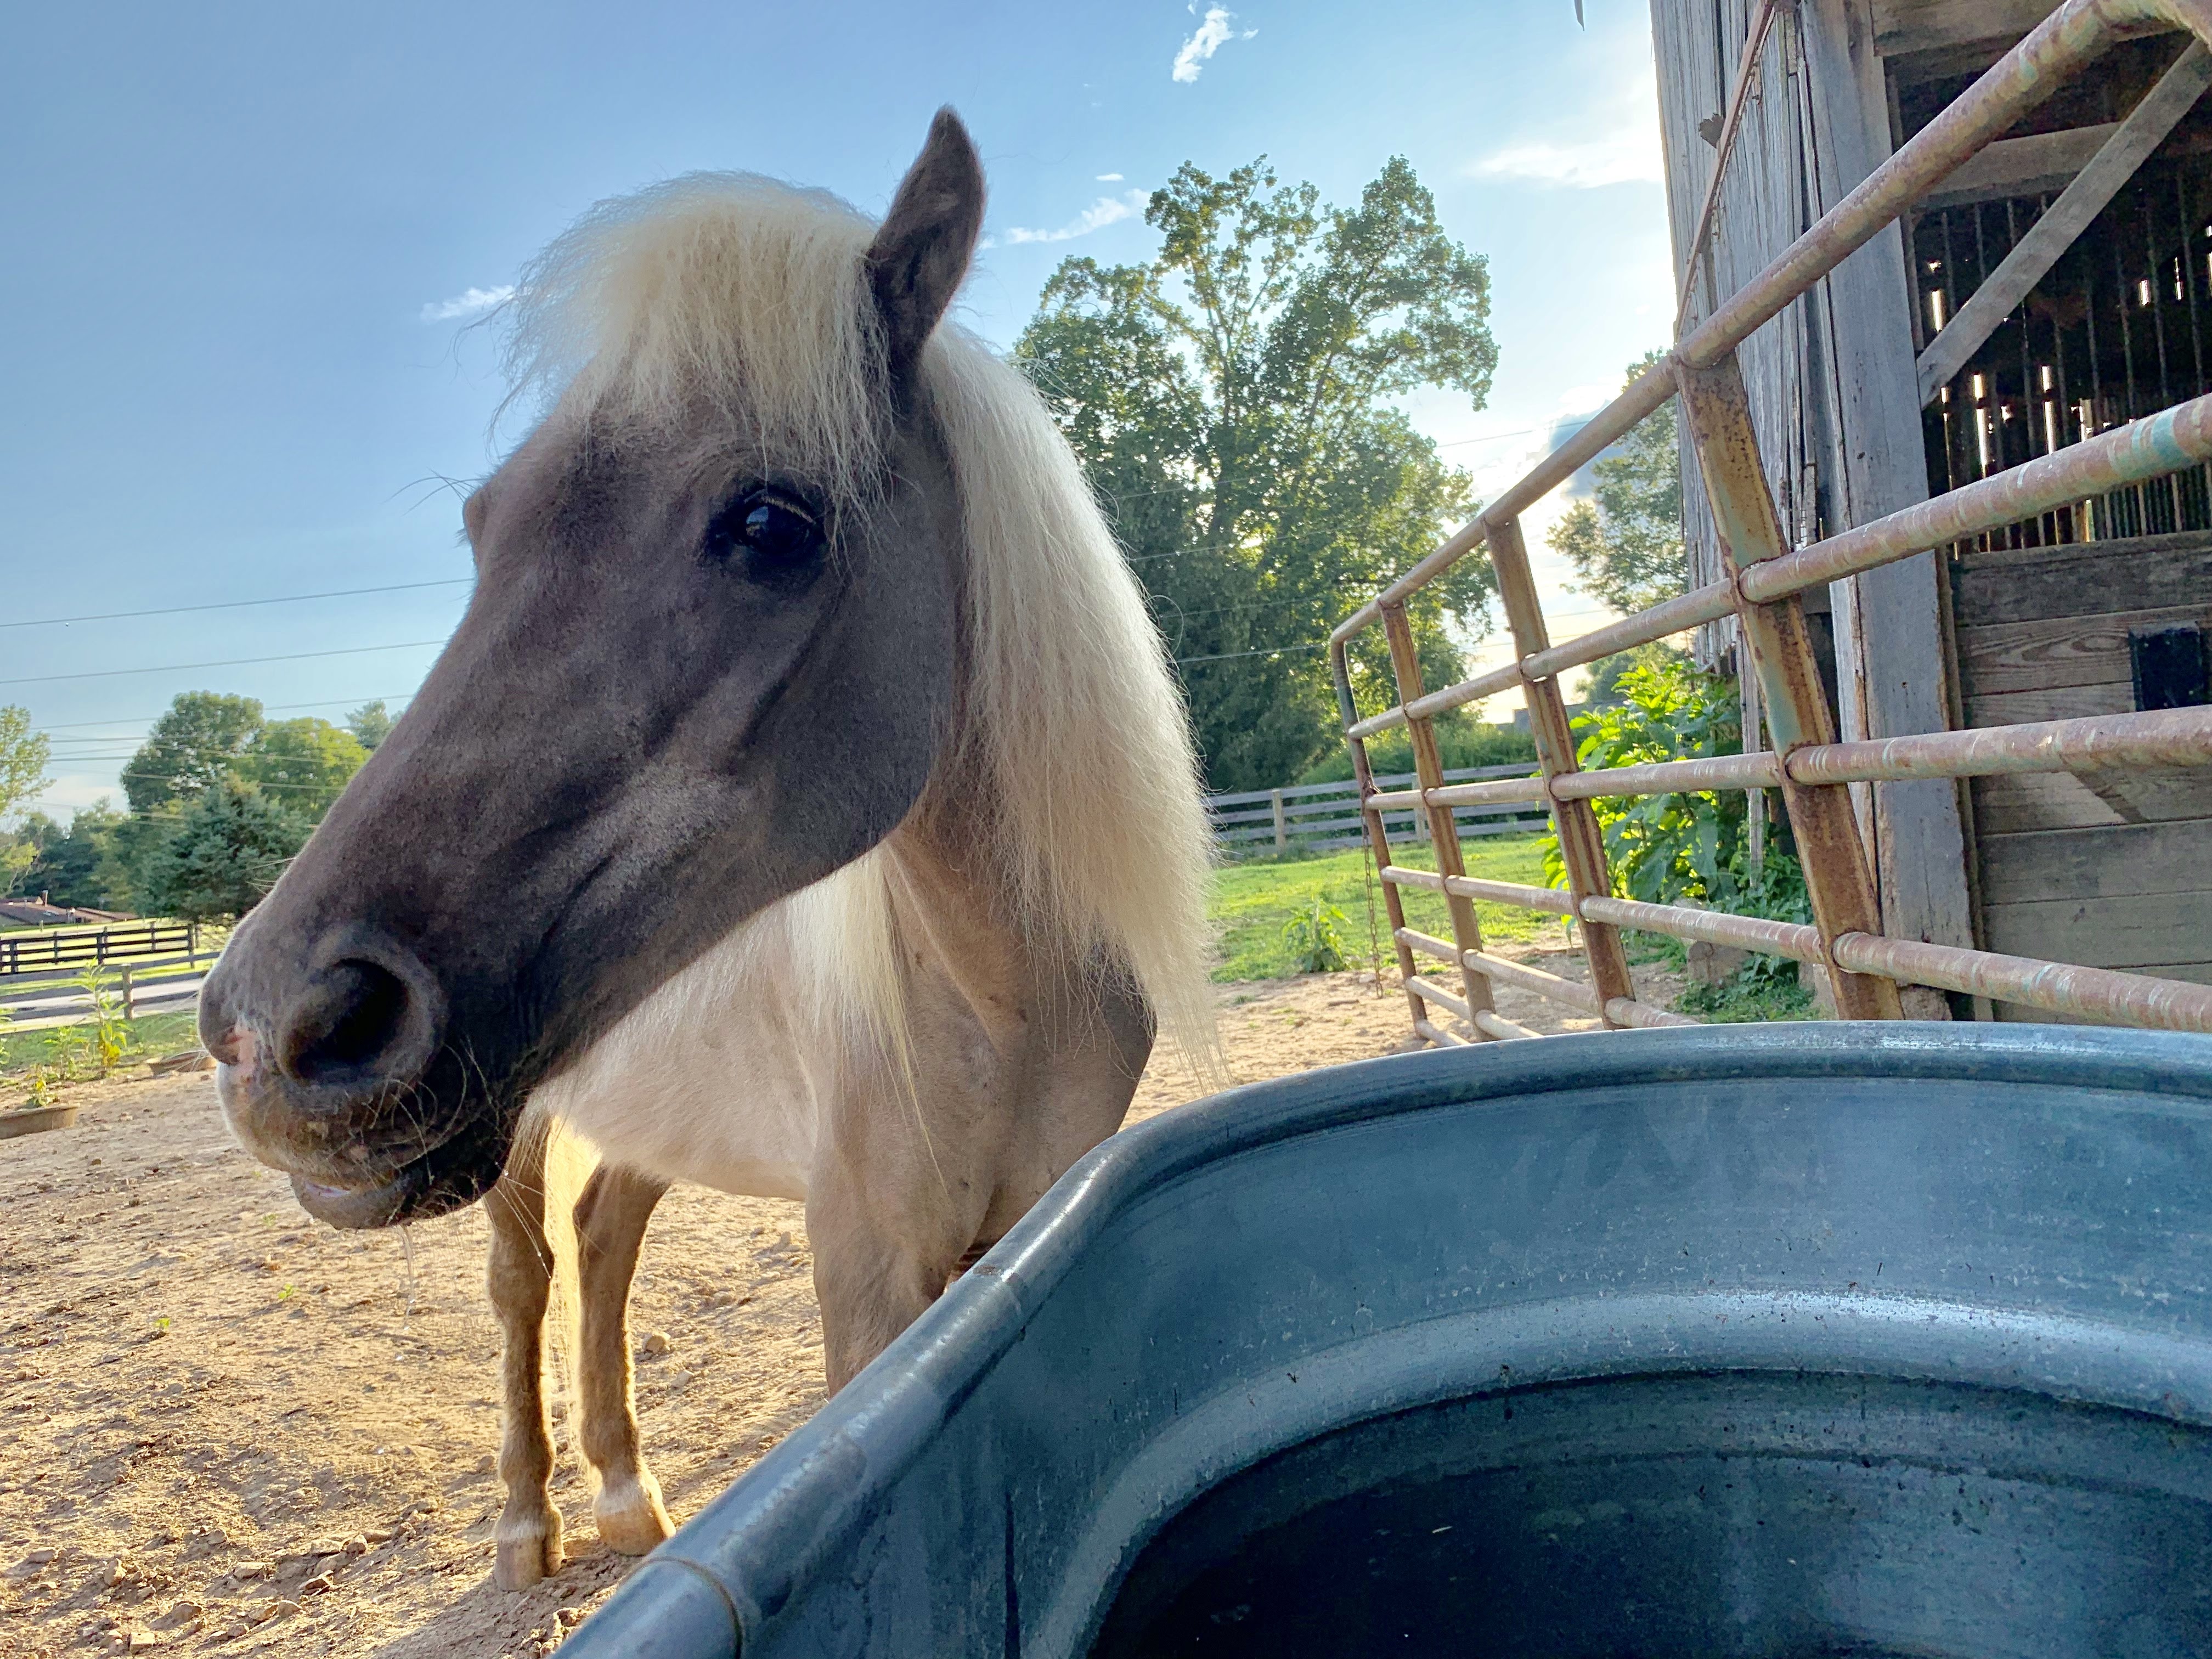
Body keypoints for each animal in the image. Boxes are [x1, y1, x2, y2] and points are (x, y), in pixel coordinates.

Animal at [197, 110, 1217, 1590]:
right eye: (482, 531)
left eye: (771, 525)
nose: (271, 1030)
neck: (998, 996)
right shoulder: (866, 1272)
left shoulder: (1022, 1229)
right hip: (516, 1139)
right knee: (525, 1282)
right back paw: (531, 1524)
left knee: (603, 1241)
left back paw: (628, 1495)